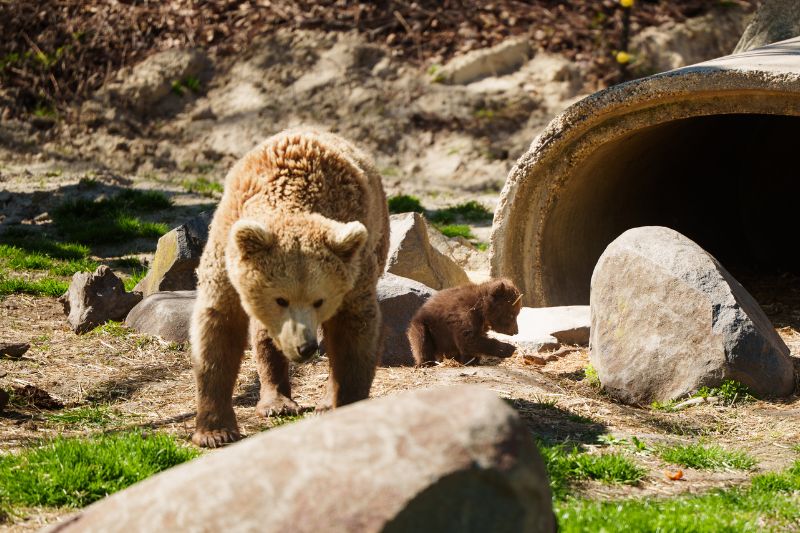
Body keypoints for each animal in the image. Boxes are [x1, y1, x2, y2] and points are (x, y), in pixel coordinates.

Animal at [190, 128, 389, 448]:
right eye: (280, 299)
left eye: (320, 300)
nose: (305, 347)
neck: (294, 198)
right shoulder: (225, 257)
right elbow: (217, 329)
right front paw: (214, 431)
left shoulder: (354, 273)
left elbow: (354, 332)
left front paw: (345, 405)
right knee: (263, 335)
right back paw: (277, 401)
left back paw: (323, 402)